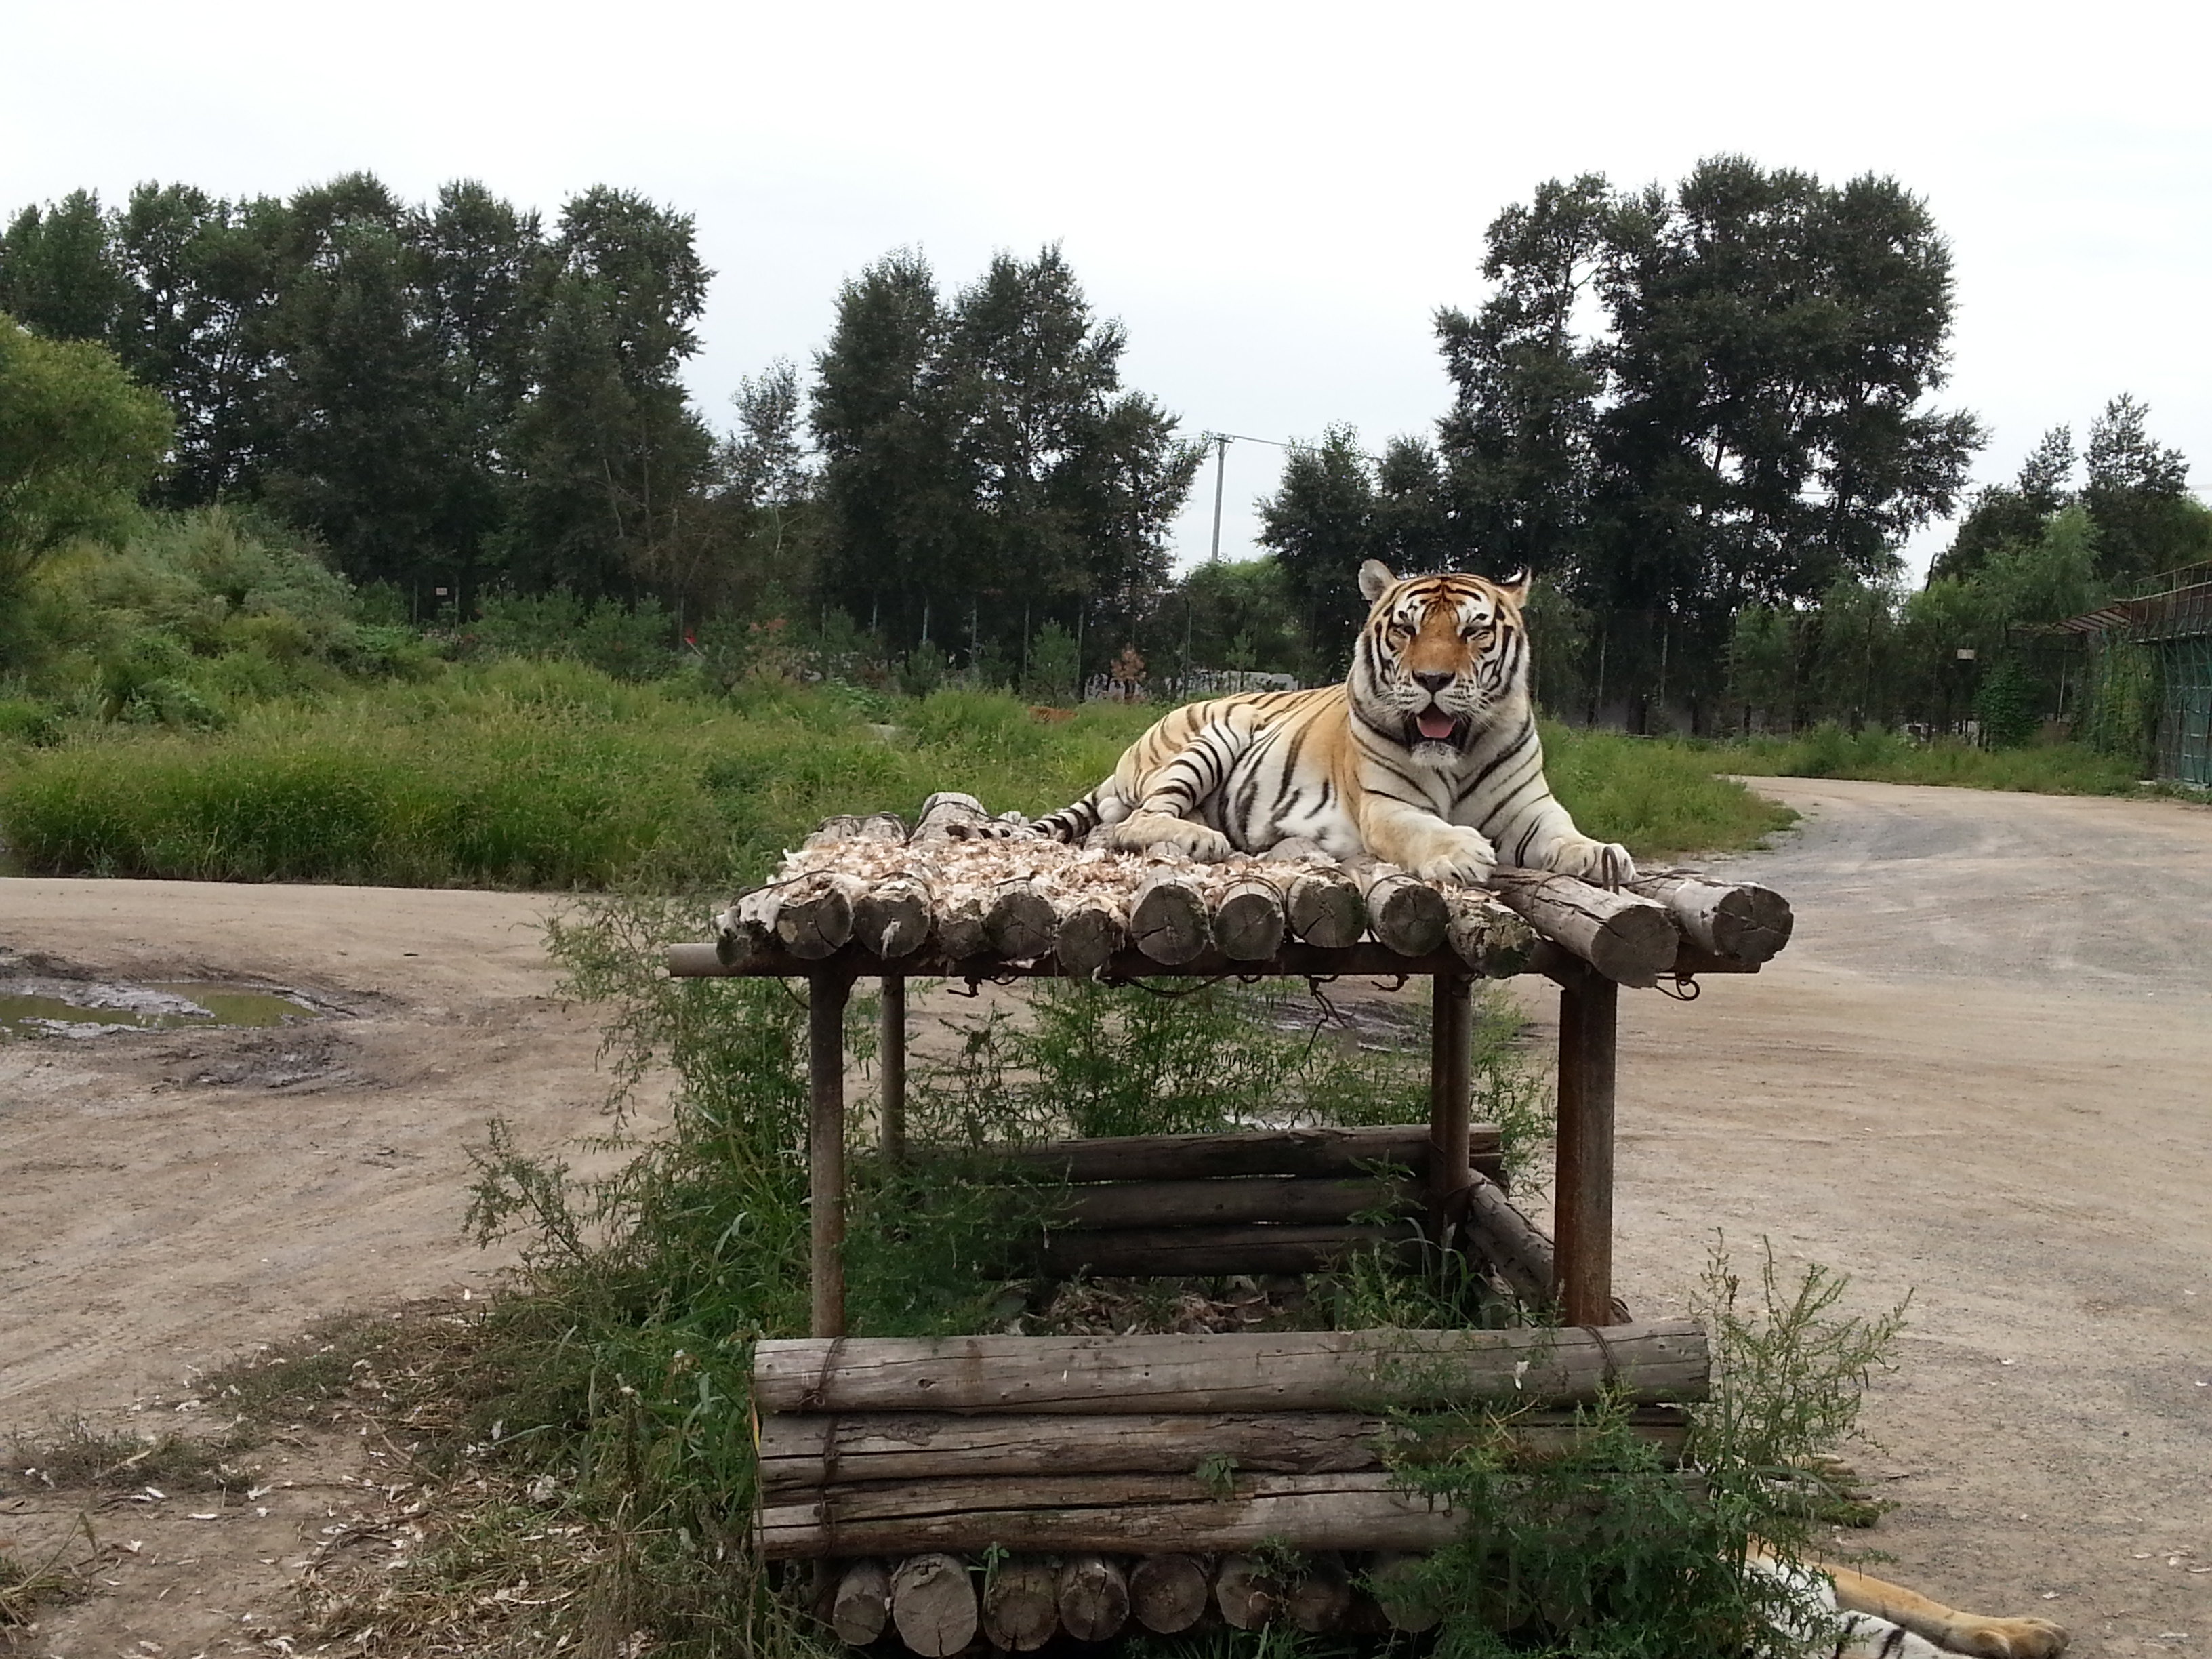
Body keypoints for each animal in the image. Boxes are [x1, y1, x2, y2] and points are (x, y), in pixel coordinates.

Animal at [1026, 562, 1637, 898]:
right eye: (1406, 630)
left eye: (1473, 632)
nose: (1432, 679)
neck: (1457, 752)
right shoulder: (1387, 806)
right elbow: (1425, 829)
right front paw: (1462, 852)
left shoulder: (1529, 808)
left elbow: (1564, 833)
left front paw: (1602, 855)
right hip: (1219, 730)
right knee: (1133, 821)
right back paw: (1200, 838)